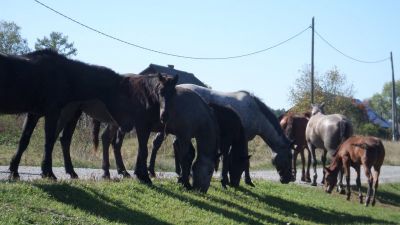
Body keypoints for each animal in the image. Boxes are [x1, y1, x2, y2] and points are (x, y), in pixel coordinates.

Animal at [0, 49, 136, 179]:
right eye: (124, 99)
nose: (129, 125)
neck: (66, 74)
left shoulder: (33, 114)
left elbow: (24, 141)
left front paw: (14, 171)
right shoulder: (52, 112)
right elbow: (48, 141)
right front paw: (48, 173)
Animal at [150, 83, 294, 184]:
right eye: (289, 156)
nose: (289, 179)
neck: (256, 113)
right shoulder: (242, 139)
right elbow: (239, 159)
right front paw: (245, 180)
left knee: (167, 145)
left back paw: (170, 171)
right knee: (164, 145)